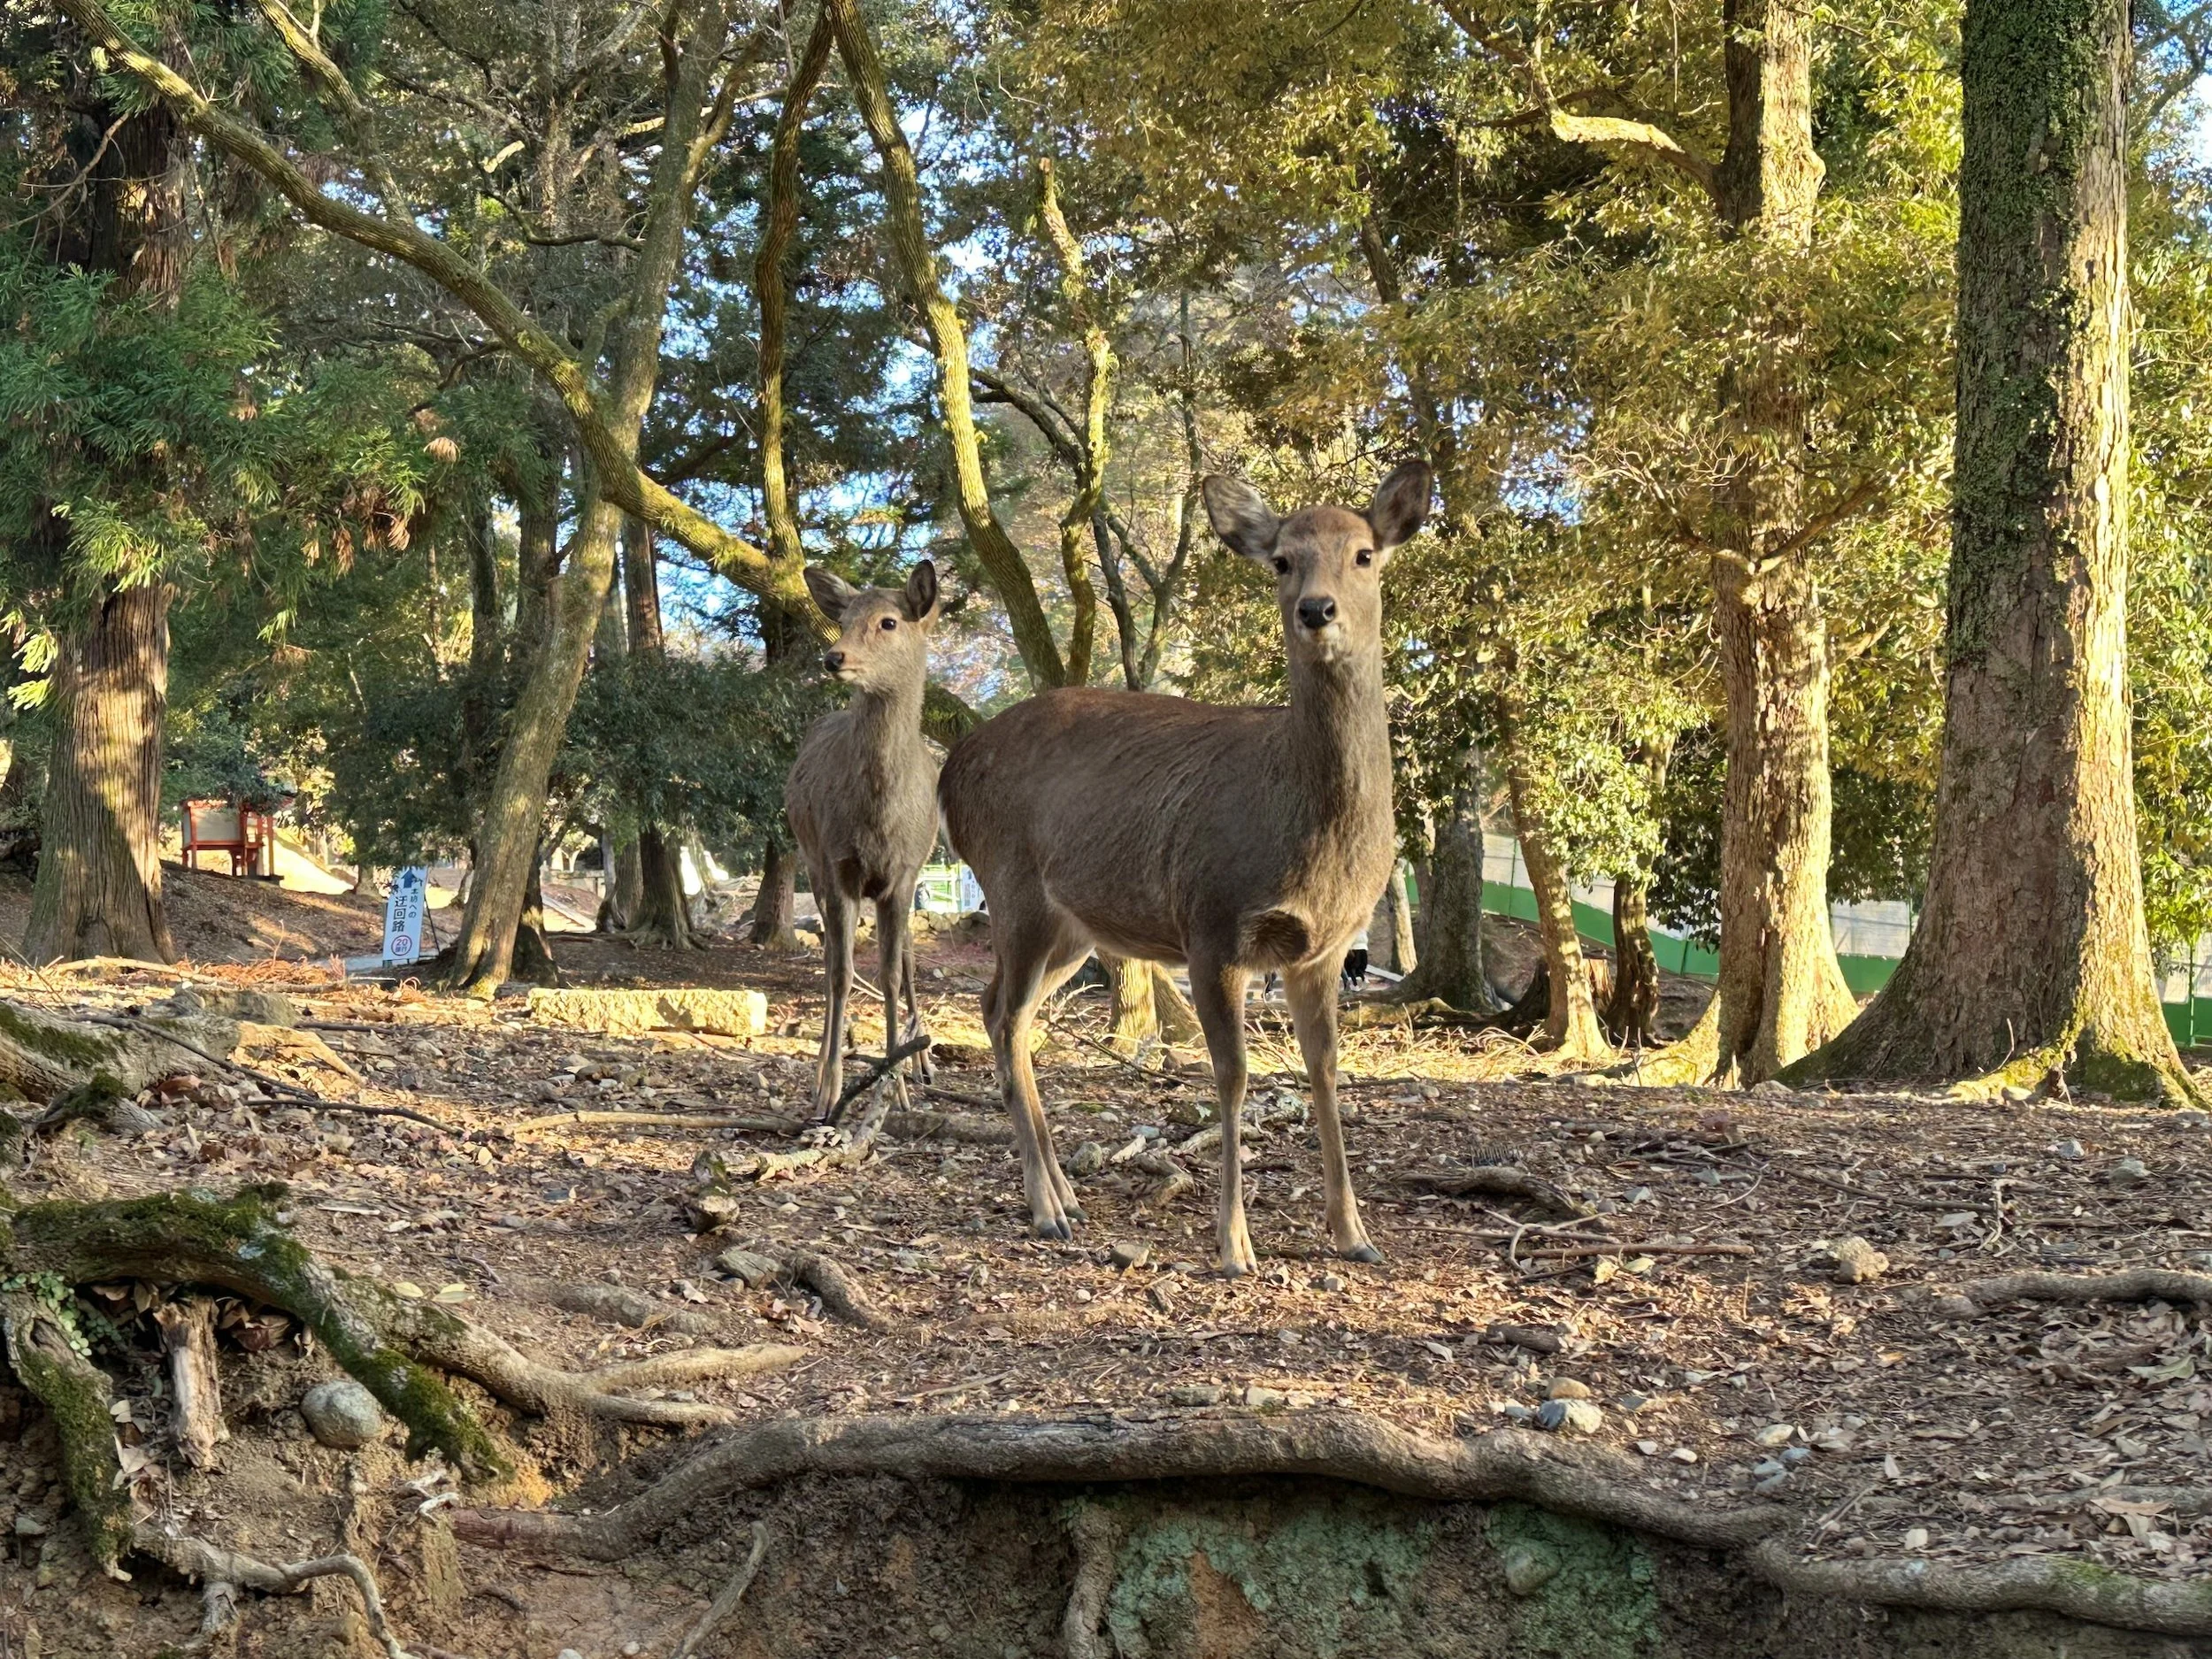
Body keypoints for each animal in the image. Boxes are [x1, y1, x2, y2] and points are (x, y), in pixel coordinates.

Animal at [785, 560, 941, 1121]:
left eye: (889, 622)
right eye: (844, 618)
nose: (834, 657)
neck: (879, 818)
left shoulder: (903, 875)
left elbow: (892, 974)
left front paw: (895, 1086)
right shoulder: (840, 865)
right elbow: (842, 973)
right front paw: (829, 1090)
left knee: (910, 959)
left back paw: (922, 1062)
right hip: (811, 864)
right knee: (832, 957)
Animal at [937, 463, 1432, 1276]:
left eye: (1364, 554)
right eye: (1282, 559)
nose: (1316, 609)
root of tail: (949, 768)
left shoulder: (1325, 948)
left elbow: (1326, 1069)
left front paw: (1355, 1233)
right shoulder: (1212, 922)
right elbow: (1231, 1075)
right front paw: (1233, 1244)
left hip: (1071, 926)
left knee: (997, 1008)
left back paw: (1067, 1193)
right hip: (1012, 884)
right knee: (1007, 1018)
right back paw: (1046, 1208)